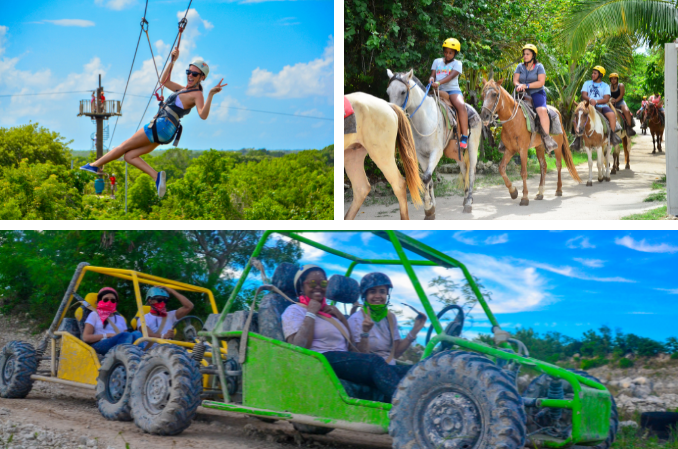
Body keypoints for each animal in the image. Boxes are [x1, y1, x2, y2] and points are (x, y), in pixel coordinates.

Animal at [388, 67, 484, 218]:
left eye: (403, 92)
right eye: (388, 92)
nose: (393, 113)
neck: (425, 119)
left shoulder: (436, 153)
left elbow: (426, 178)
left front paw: (428, 208)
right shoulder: (421, 155)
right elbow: (428, 180)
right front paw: (431, 207)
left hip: (473, 146)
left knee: (471, 172)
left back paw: (468, 203)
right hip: (456, 152)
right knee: (464, 169)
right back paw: (465, 198)